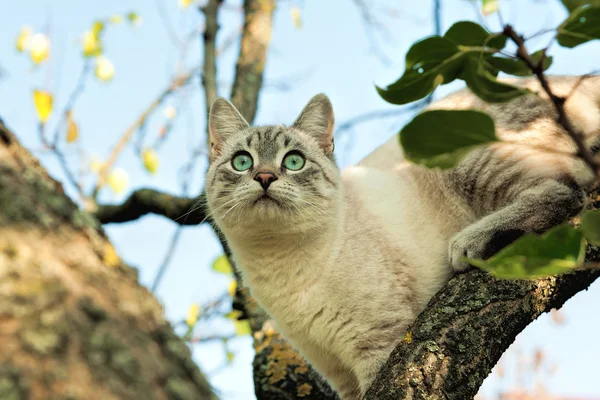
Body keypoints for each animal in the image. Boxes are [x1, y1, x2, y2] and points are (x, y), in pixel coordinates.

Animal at [205, 76, 600, 400]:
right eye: (242, 162)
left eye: (293, 161)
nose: (265, 177)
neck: (281, 265)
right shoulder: (338, 374)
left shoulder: (378, 346)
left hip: (468, 159)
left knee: (564, 193)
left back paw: (469, 243)